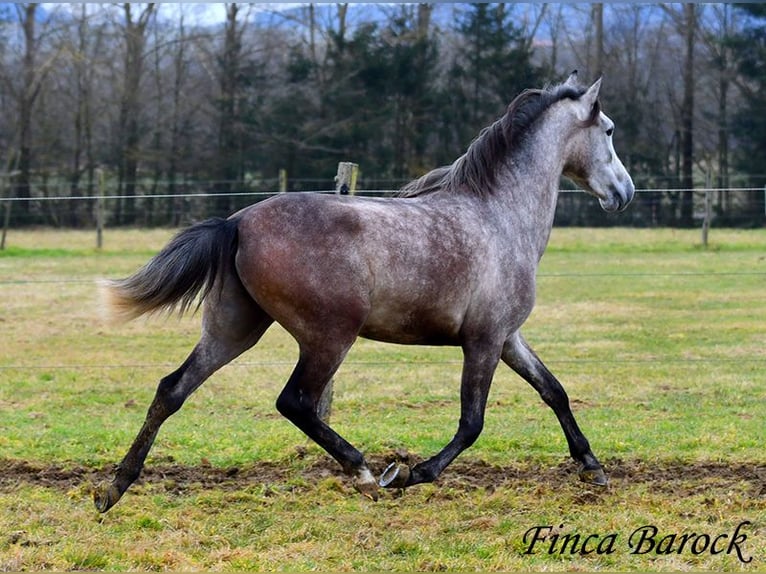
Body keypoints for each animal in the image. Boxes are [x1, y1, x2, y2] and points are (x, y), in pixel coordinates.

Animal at [94, 72, 636, 512]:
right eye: (609, 130)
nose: (625, 192)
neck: (499, 215)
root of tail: (238, 221)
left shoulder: (507, 337)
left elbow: (554, 391)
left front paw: (593, 468)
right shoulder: (483, 340)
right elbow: (472, 422)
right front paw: (413, 474)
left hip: (234, 329)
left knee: (172, 389)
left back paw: (113, 489)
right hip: (330, 335)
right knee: (295, 402)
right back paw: (367, 472)